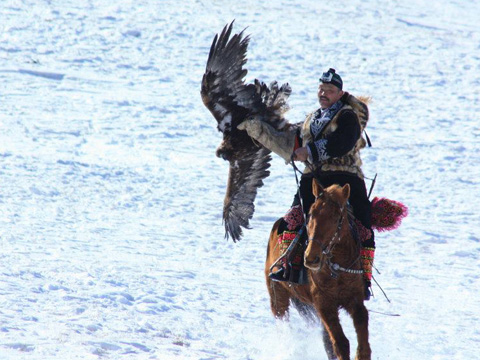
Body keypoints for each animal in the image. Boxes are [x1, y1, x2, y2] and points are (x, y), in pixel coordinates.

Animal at [266, 180, 372, 360]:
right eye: (311, 214)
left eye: (337, 218)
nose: (311, 258)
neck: (336, 270)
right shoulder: (324, 303)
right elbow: (340, 343)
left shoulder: (355, 300)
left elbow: (363, 343)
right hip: (278, 295)